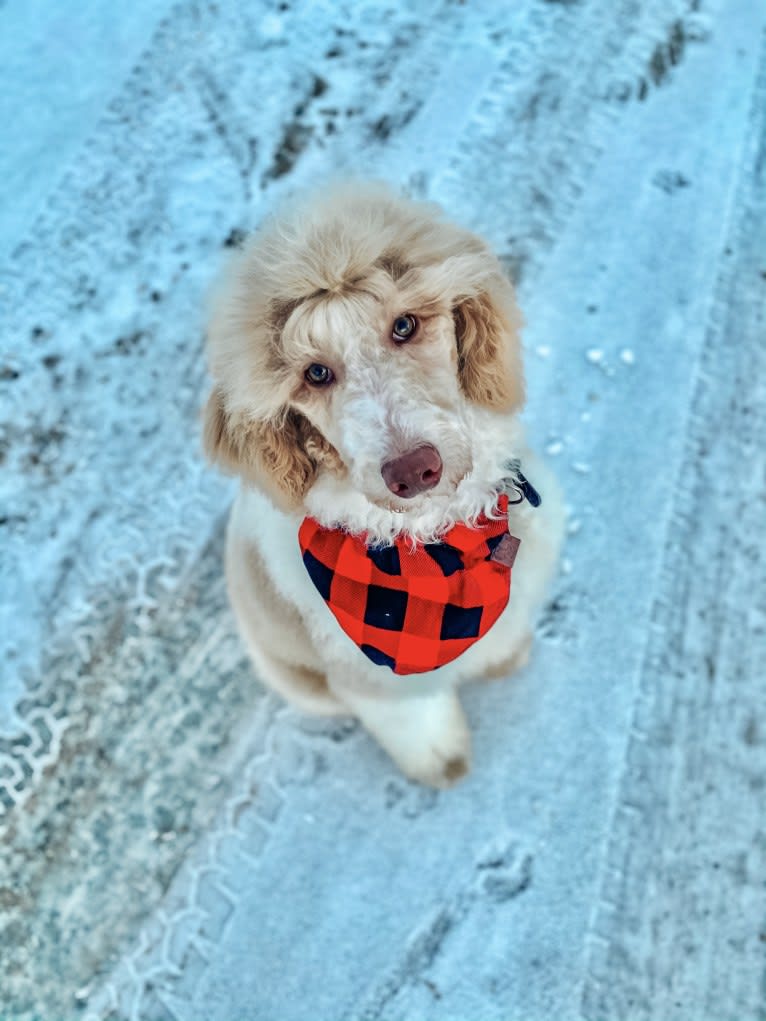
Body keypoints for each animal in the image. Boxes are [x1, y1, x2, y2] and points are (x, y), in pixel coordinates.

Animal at [204, 181, 563, 788]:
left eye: (404, 325)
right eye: (315, 373)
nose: (413, 471)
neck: (433, 543)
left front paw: (505, 660)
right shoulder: (377, 682)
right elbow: (418, 723)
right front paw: (444, 763)